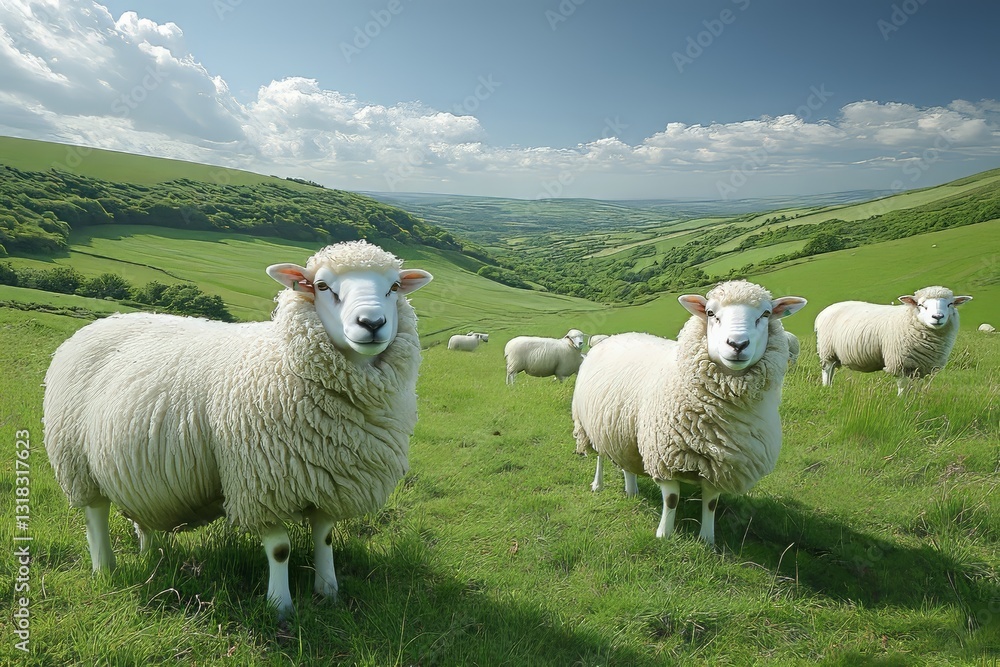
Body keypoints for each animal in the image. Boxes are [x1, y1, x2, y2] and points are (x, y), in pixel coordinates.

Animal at [43, 240, 433, 618]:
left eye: (394, 287)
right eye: (322, 286)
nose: (372, 323)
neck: (286, 358)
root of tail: (101, 323)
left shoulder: (328, 478)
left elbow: (324, 538)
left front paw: (328, 592)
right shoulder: (261, 481)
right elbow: (279, 549)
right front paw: (280, 607)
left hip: (135, 471)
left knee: (141, 516)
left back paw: (150, 554)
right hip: (76, 461)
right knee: (95, 517)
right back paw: (105, 569)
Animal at [572, 280, 807, 545]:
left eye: (766, 314)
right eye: (711, 313)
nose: (737, 344)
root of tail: (615, 336)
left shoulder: (719, 465)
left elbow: (711, 503)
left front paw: (707, 539)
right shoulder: (664, 456)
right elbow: (671, 499)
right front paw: (664, 534)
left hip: (621, 429)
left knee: (626, 463)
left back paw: (631, 490)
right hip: (590, 422)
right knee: (600, 457)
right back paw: (598, 484)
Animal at [814, 286, 972, 395]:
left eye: (950, 304)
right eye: (921, 305)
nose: (937, 317)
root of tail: (824, 311)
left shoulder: (921, 366)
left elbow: (917, 386)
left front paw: (916, 400)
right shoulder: (900, 362)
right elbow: (903, 385)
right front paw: (902, 401)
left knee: (832, 370)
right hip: (827, 349)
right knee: (827, 370)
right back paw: (826, 387)